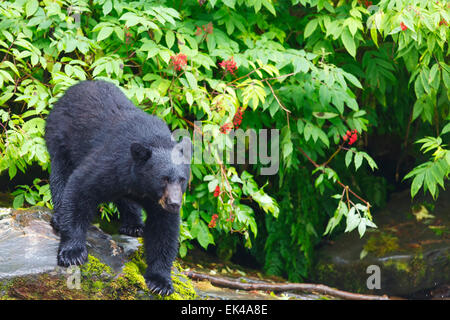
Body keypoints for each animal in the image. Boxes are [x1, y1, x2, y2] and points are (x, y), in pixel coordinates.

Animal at [45, 80, 192, 296]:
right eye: (164, 179)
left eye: (182, 179)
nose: (174, 203)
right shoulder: (112, 160)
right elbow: (80, 188)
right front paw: (72, 253)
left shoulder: (154, 198)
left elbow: (163, 229)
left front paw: (160, 282)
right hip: (61, 137)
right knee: (61, 176)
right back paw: (58, 216)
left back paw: (134, 225)